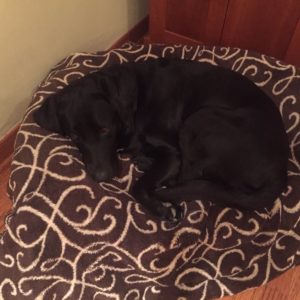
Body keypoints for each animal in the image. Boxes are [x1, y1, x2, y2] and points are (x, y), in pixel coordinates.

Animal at [34, 58, 290, 221]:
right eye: (74, 135)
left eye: (105, 129)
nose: (100, 177)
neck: (134, 100)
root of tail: (280, 173)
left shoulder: (173, 151)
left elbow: (139, 186)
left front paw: (161, 209)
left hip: (200, 119)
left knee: (186, 175)